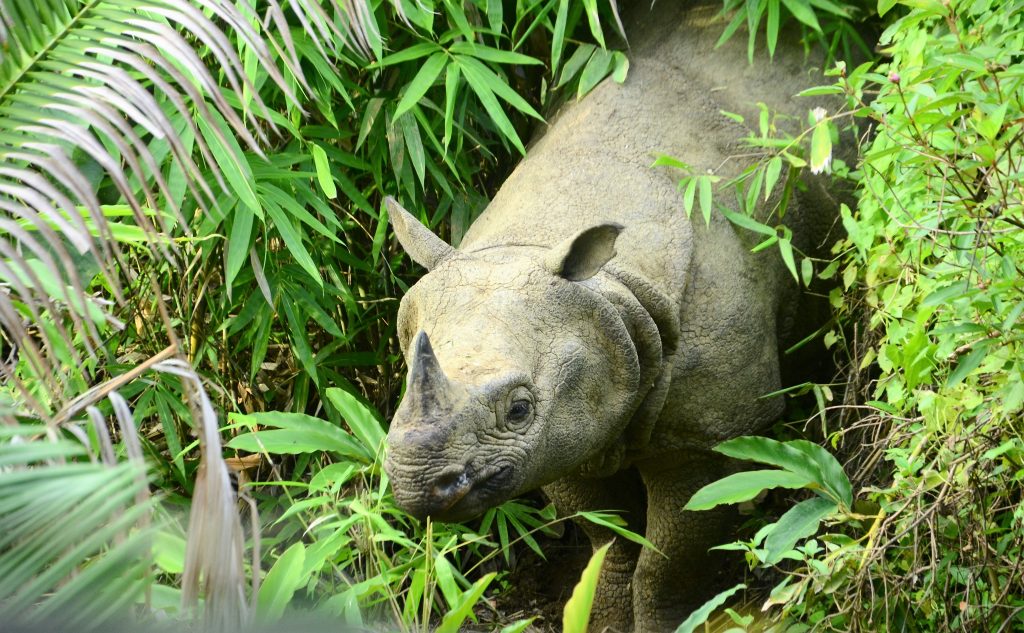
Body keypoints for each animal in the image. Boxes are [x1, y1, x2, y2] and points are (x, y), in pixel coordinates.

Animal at [382, 2, 839, 626]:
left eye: (519, 409)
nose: (418, 483)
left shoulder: (713, 429)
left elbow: (673, 553)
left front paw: (672, 621)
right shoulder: (563, 431)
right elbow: (610, 539)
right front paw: (603, 613)